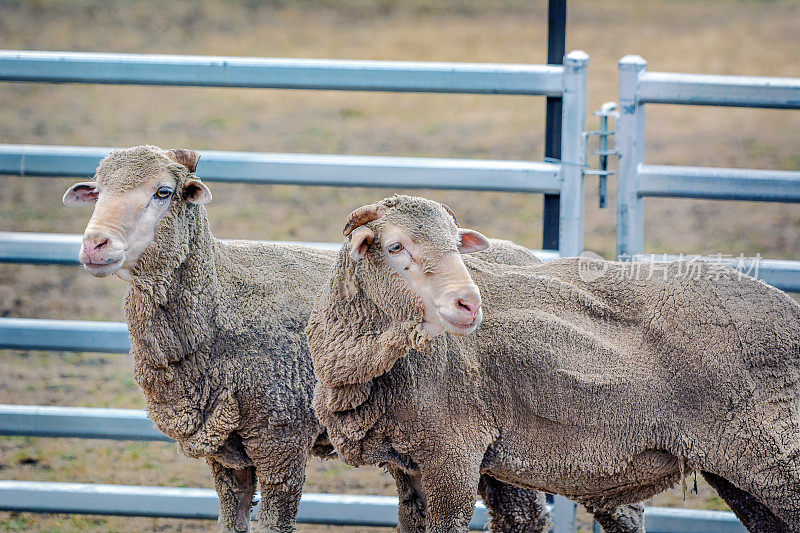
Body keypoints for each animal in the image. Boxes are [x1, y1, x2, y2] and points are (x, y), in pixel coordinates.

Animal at [64, 147, 556, 532]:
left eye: (163, 192)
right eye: (98, 190)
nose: (94, 245)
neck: (222, 297)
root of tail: (526, 255)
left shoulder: (281, 437)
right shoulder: (224, 452)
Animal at [306, 194, 800, 532]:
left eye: (457, 247)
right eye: (395, 247)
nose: (470, 304)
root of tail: (787, 307)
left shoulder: (454, 453)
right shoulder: (408, 466)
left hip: (777, 454)